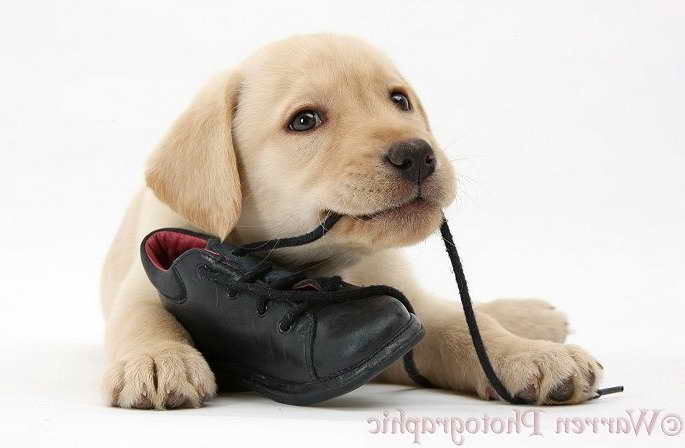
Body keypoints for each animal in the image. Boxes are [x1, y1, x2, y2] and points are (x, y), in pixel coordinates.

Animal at [100, 34, 600, 410]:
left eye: (399, 100)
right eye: (304, 120)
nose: (417, 154)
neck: (313, 264)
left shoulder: (404, 305)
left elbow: (461, 325)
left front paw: (528, 354)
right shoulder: (142, 282)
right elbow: (143, 317)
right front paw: (158, 360)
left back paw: (532, 317)